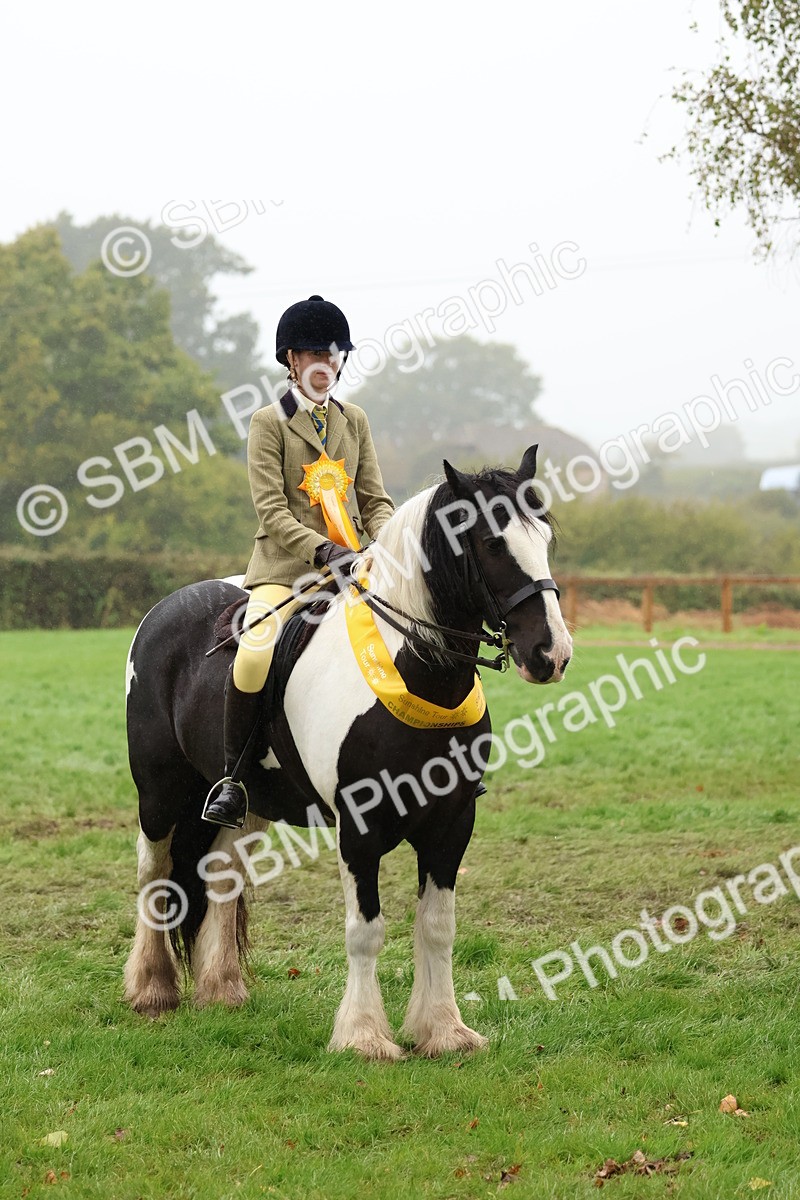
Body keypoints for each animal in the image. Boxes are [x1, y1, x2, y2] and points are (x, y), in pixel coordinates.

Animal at [123, 445, 572, 1060]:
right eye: (489, 543)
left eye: (544, 536)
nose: (551, 654)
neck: (414, 667)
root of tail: (164, 609)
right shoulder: (359, 827)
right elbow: (366, 930)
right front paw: (363, 1037)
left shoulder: (453, 821)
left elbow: (438, 927)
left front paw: (443, 1030)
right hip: (160, 789)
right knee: (156, 870)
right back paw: (151, 989)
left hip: (245, 803)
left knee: (220, 874)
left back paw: (222, 990)